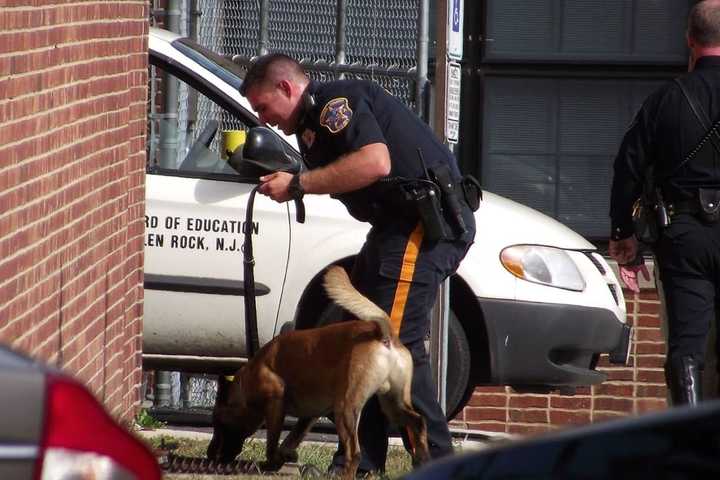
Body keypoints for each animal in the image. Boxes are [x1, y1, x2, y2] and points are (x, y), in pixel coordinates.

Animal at [205, 264, 430, 478]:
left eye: (219, 423)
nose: (209, 455)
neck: (246, 381)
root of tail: (384, 334)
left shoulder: (276, 402)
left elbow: (272, 442)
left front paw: (271, 462)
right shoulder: (309, 416)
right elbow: (290, 440)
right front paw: (286, 456)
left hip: (345, 409)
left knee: (355, 452)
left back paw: (344, 475)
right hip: (392, 405)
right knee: (418, 422)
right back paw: (423, 460)